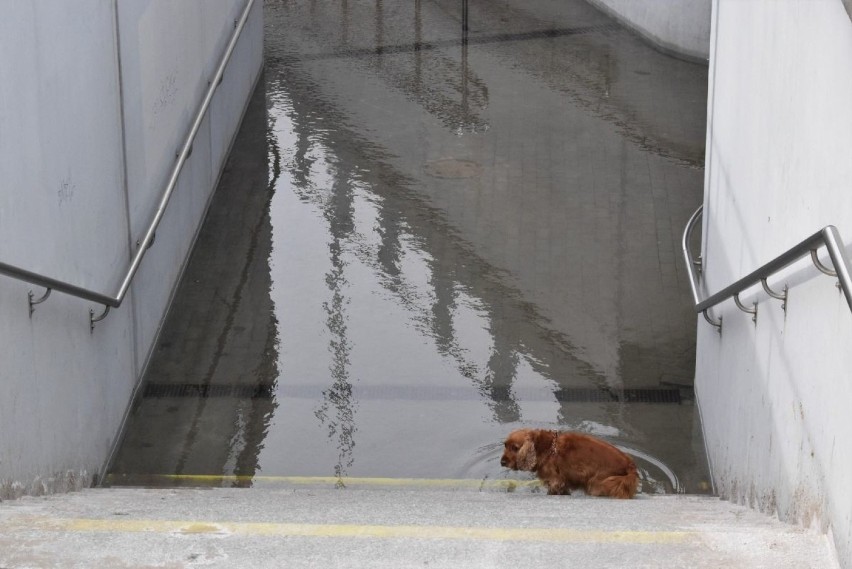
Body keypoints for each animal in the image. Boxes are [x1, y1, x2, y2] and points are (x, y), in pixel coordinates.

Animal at [502, 426, 636, 496]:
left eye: (515, 448)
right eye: (505, 445)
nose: (502, 462)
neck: (545, 447)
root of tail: (629, 464)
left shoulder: (555, 481)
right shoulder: (563, 481)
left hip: (598, 483)